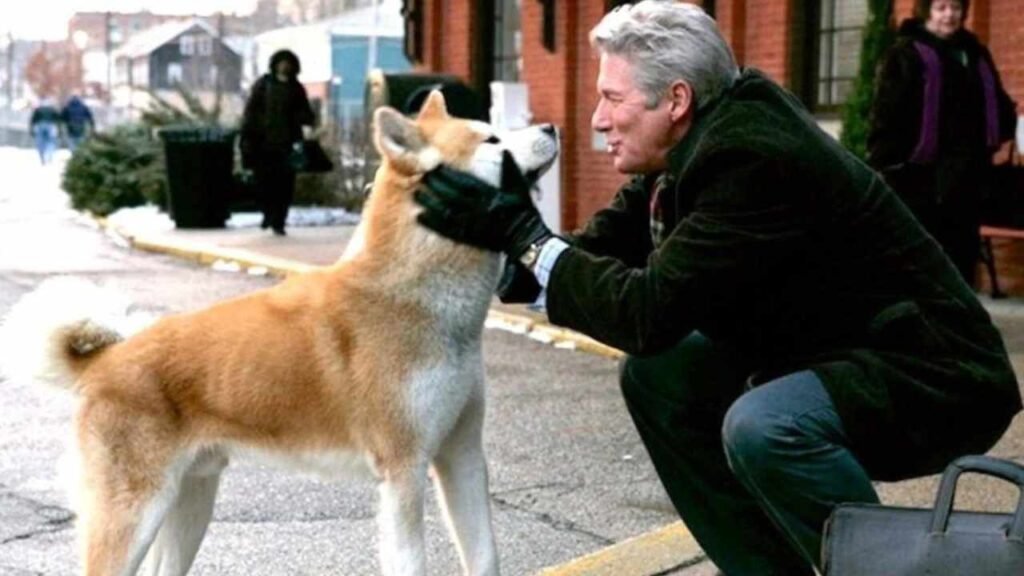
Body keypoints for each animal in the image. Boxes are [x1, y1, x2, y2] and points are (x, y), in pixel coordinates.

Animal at [0, 90, 561, 573]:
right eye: (491, 139)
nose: (553, 125)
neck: (416, 300)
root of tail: (105, 359)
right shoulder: (403, 471)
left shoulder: (461, 456)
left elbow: (485, 557)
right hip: (134, 516)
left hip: (190, 503)